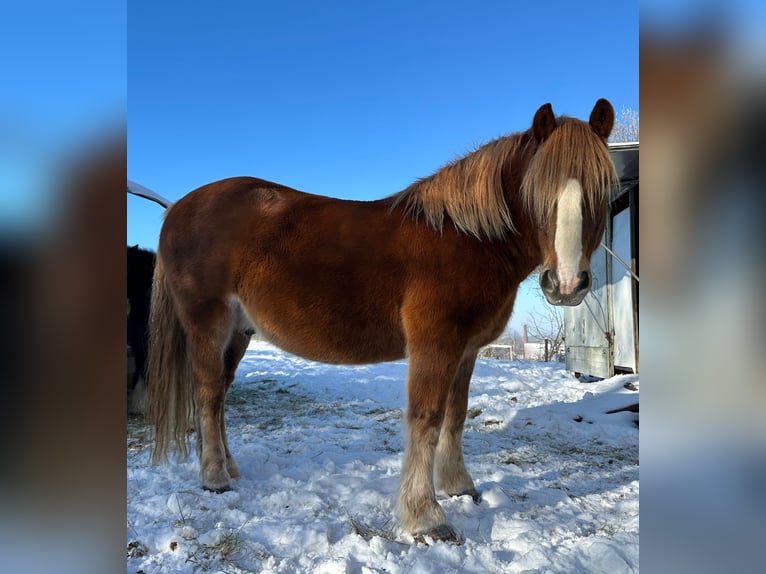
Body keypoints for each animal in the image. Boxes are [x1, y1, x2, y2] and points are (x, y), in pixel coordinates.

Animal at [147, 99, 616, 543]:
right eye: (537, 191)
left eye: (602, 191)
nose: (567, 283)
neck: (465, 238)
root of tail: (177, 209)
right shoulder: (434, 345)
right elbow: (427, 419)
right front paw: (427, 517)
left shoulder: (465, 351)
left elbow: (456, 415)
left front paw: (459, 486)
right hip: (207, 324)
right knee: (208, 394)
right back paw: (214, 478)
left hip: (238, 333)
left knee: (221, 394)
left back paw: (230, 468)